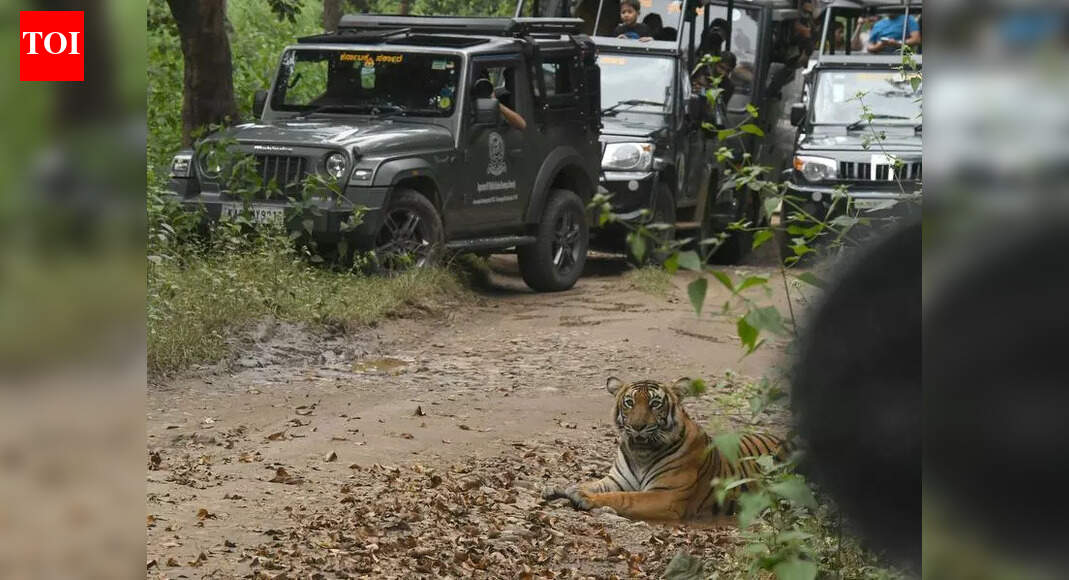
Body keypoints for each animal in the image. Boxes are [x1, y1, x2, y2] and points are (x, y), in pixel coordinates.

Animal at [543, 377, 788, 523]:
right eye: (629, 402)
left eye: (654, 404)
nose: (637, 426)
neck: (640, 454)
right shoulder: (615, 480)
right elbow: (590, 483)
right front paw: (560, 488)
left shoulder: (666, 496)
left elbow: (623, 497)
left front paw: (585, 497)